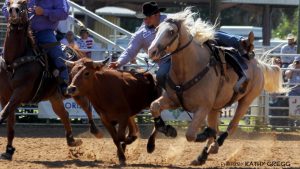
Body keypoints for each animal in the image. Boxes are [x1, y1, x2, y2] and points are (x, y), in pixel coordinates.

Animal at [0, 0, 102, 160]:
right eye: (9, 3)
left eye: (23, 3)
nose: (13, 11)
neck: (14, 62)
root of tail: (79, 53)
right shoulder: (5, 96)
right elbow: (10, 121)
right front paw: (9, 151)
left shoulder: (20, 92)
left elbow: (4, 114)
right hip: (54, 96)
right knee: (64, 114)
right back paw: (72, 140)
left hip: (77, 92)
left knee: (87, 108)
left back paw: (95, 131)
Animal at [146, 7, 288, 165]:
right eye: (156, 30)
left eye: (171, 31)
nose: (151, 51)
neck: (191, 67)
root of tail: (258, 64)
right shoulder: (173, 100)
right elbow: (154, 106)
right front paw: (159, 137)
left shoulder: (203, 107)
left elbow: (190, 135)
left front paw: (204, 134)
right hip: (215, 108)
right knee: (216, 126)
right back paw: (202, 156)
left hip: (246, 101)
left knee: (231, 126)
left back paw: (214, 146)